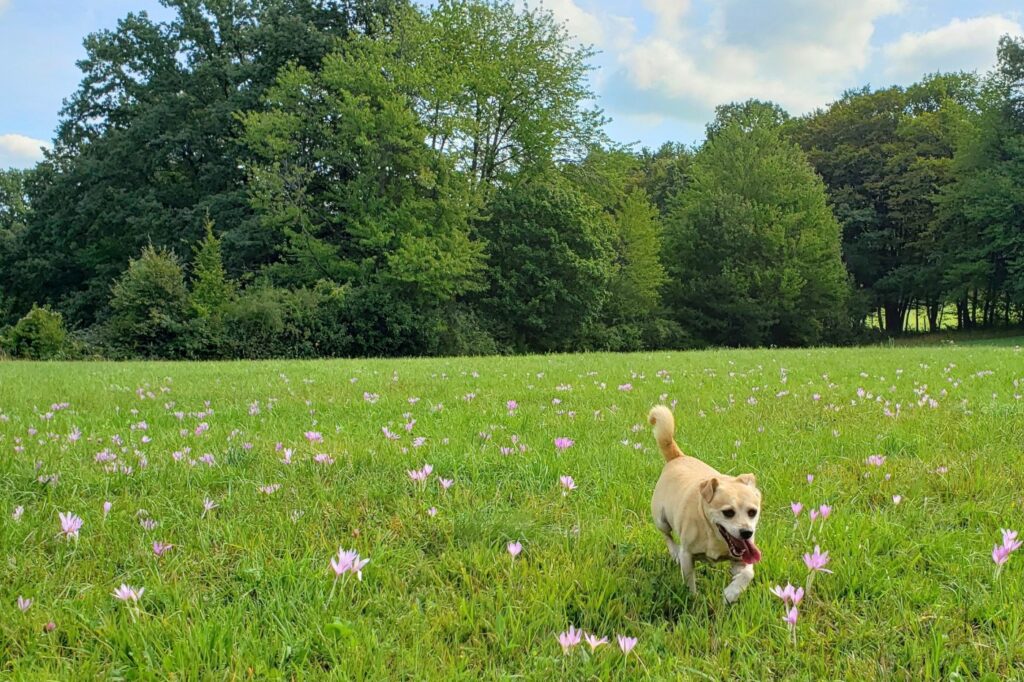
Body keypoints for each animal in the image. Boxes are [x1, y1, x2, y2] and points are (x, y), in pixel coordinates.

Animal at [647, 403, 761, 602]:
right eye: (728, 512)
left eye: (752, 512)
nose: (747, 532)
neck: (713, 535)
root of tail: (678, 457)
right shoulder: (688, 554)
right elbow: (689, 580)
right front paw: (693, 599)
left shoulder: (741, 558)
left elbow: (748, 573)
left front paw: (731, 594)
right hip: (661, 518)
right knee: (667, 534)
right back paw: (673, 551)